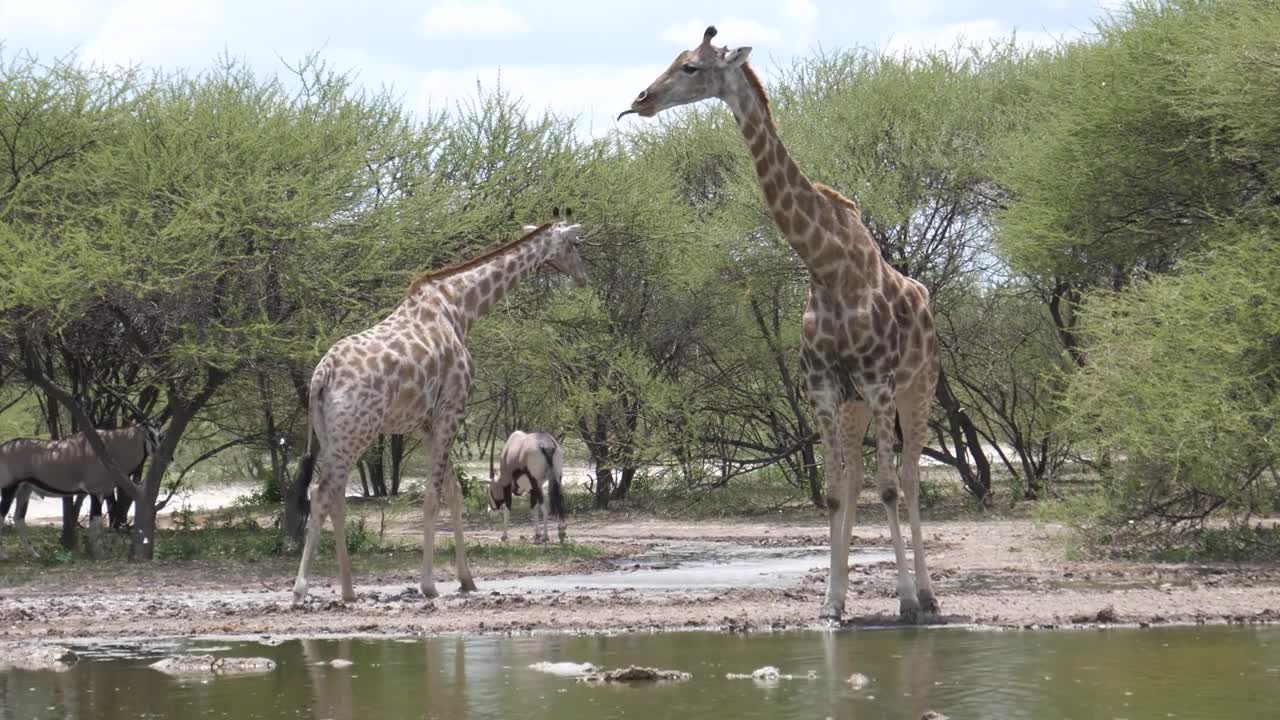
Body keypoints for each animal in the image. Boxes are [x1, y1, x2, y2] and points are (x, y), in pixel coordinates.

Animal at [290, 208, 586, 599]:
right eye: (575, 243)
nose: (582, 276)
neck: (460, 308)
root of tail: (322, 375)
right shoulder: (452, 409)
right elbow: (432, 495)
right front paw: (429, 584)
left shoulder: (428, 422)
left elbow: (453, 492)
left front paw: (467, 579)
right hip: (357, 431)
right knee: (323, 492)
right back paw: (301, 588)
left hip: (331, 434)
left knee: (332, 495)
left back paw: (349, 590)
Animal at [619, 28, 942, 620]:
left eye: (693, 67)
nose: (642, 99)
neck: (827, 266)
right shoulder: (823, 386)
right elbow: (836, 491)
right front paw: (831, 603)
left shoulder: (879, 382)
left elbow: (887, 487)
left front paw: (905, 600)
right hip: (858, 404)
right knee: (856, 478)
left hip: (918, 388)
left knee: (906, 478)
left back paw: (928, 596)